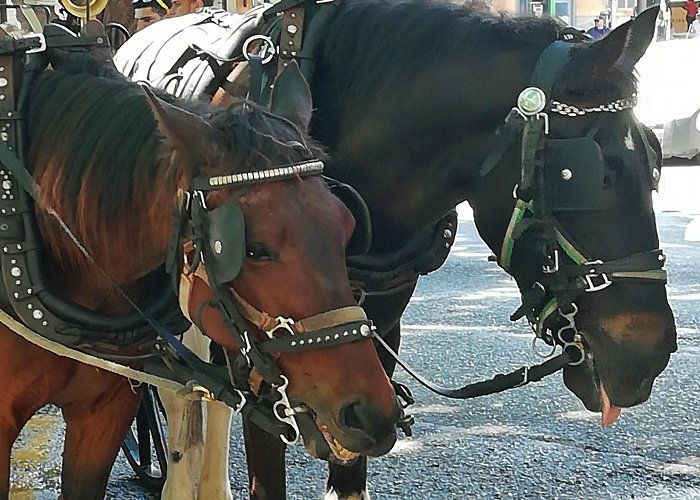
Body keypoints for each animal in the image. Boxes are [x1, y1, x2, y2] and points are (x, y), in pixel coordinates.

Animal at [116, 1, 680, 498]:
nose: (649, 355)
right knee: (181, 395)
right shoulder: (264, 358)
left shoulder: (371, 350)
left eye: (656, 161)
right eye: (585, 173)